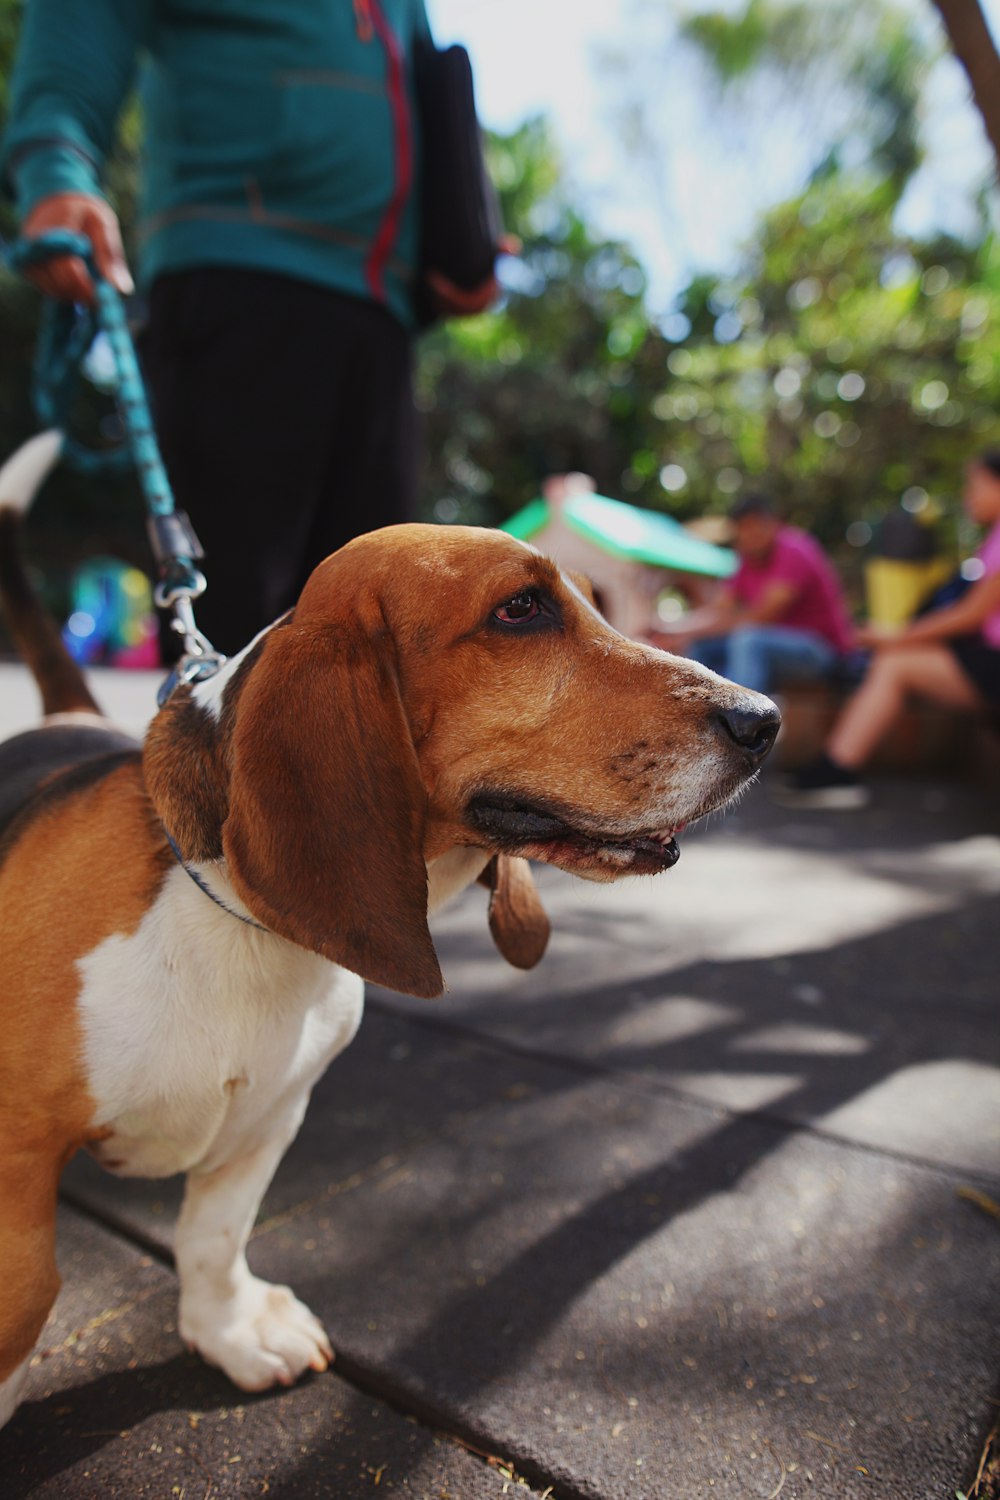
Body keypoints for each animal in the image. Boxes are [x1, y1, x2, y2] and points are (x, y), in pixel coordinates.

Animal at [0, 432, 779, 1416]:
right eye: (520, 610)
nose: (766, 721)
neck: (238, 927)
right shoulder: (18, 1164)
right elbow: (32, 1293)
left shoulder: (271, 1116)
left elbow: (214, 1237)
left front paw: (230, 1332)